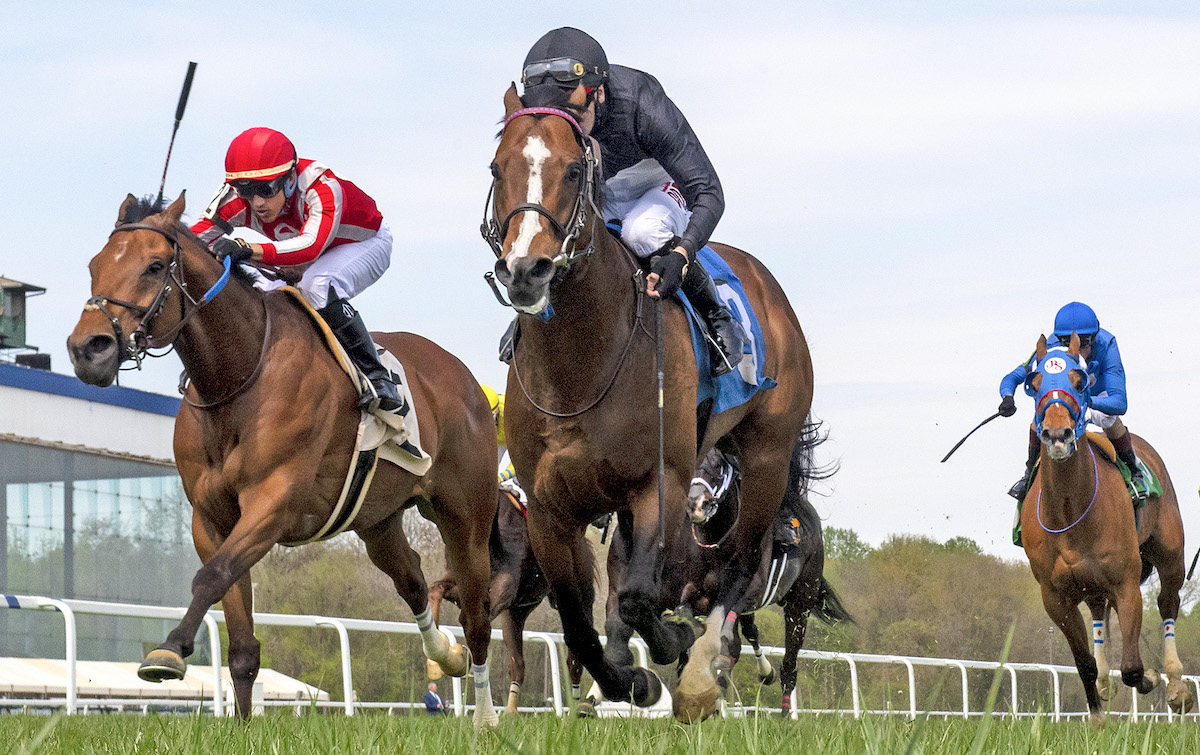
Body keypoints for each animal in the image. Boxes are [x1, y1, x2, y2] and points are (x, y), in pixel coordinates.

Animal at [68, 193, 499, 724]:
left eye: (153, 266)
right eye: (95, 266)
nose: (87, 349)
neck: (236, 377)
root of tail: (463, 377)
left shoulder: (273, 504)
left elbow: (211, 577)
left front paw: (169, 650)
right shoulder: (210, 519)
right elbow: (239, 639)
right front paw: (241, 724)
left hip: (466, 516)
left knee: (477, 613)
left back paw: (485, 717)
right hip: (377, 520)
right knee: (413, 580)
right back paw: (446, 655)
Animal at [484, 85, 816, 720]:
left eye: (572, 169)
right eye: (497, 167)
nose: (526, 270)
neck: (581, 363)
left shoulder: (659, 481)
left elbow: (640, 600)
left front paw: (666, 656)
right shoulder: (549, 507)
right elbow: (580, 619)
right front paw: (622, 681)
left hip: (765, 455)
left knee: (739, 566)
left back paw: (705, 668)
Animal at [1022, 333, 1190, 724]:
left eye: (1079, 382)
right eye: (1034, 383)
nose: (1057, 434)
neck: (1070, 510)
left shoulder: (1125, 582)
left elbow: (1131, 667)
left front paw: (1149, 678)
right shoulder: (1055, 596)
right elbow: (1083, 663)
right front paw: (1097, 718)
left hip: (1170, 555)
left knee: (1168, 602)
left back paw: (1177, 686)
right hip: (1090, 584)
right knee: (1098, 614)